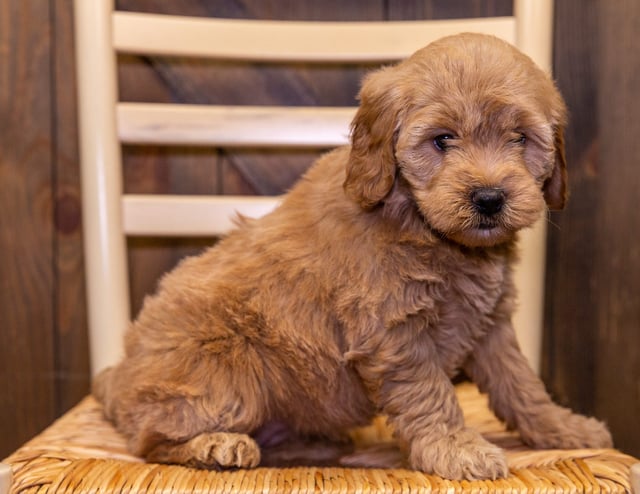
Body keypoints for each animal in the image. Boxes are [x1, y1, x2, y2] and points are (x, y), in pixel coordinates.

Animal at [92, 32, 612, 480]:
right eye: (443, 139)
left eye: (519, 138)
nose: (488, 198)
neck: (420, 223)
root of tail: (117, 380)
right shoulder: (393, 333)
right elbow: (432, 395)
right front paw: (456, 448)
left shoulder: (491, 327)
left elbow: (520, 385)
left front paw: (562, 428)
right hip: (227, 371)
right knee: (151, 439)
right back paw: (215, 445)